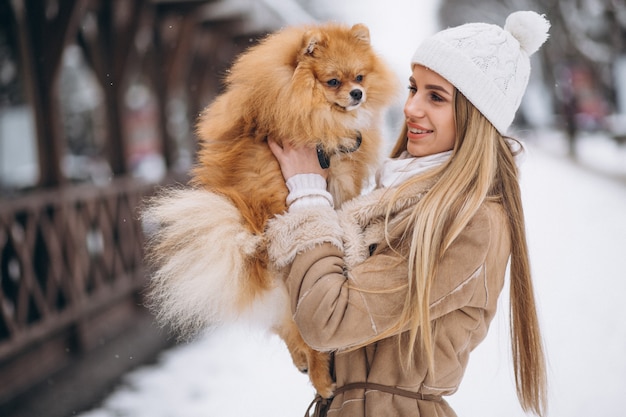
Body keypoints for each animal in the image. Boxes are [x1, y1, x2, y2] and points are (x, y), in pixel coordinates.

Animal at [143, 22, 394, 396]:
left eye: (360, 77)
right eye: (333, 81)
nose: (357, 94)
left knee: (287, 329)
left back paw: (305, 363)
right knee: (303, 333)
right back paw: (322, 379)